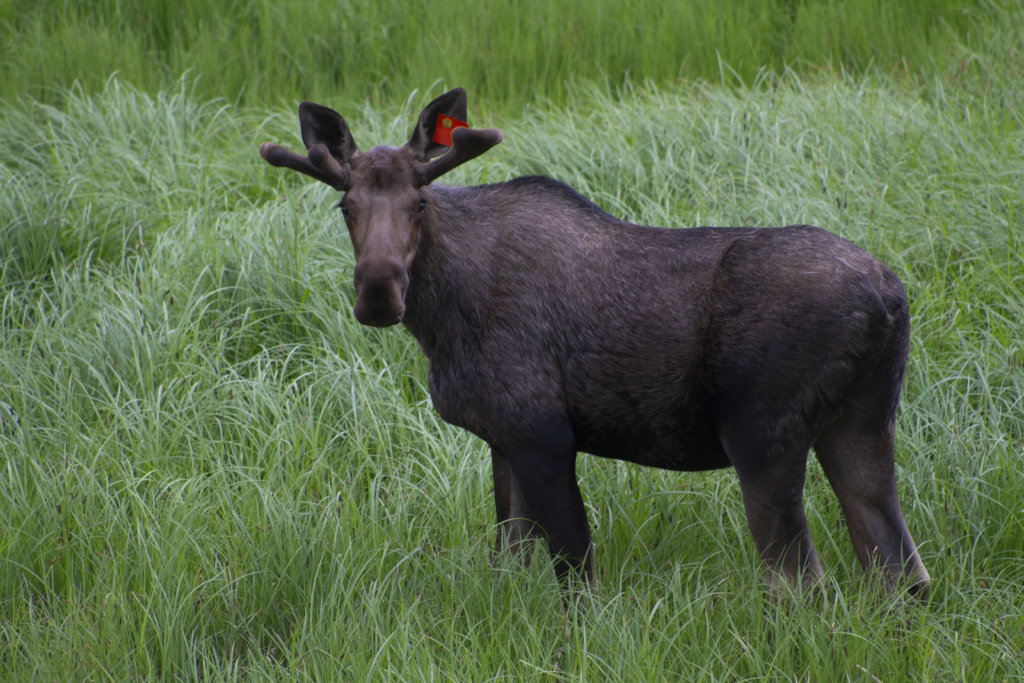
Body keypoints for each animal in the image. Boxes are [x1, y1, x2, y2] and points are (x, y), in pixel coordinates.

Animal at [259, 87, 930, 597]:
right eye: (345, 206)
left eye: (419, 202)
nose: (378, 292)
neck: (439, 321)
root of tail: (890, 297)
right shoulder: (503, 439)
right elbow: (510, 559)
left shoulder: (543, 434)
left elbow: (575, 578)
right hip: (864, 422)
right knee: (902, 571)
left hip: (763, 438)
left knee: (801, 584)